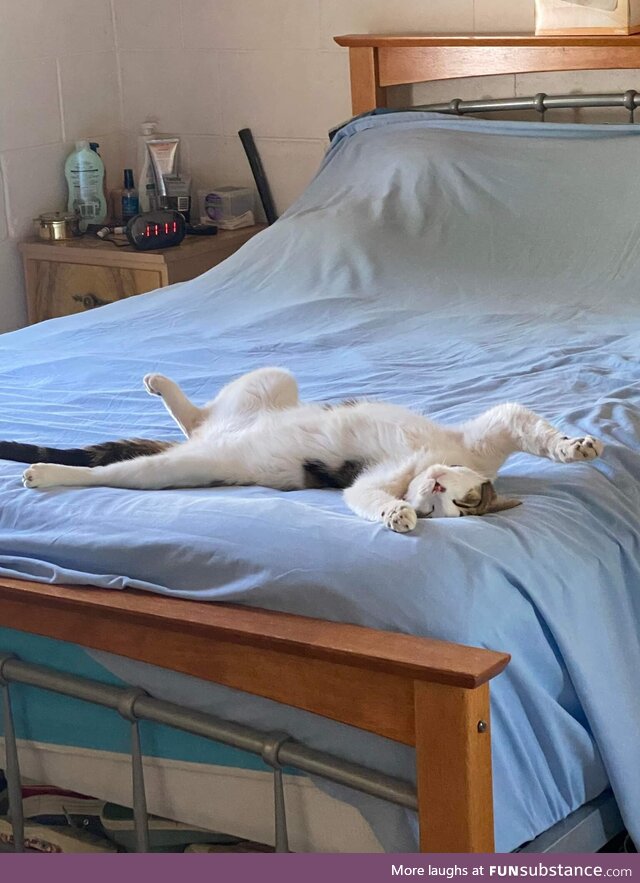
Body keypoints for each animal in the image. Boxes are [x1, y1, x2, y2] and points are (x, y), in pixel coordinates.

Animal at [8, 366, 600, 532]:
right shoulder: (485, 436)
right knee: (191, 418)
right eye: (462, 496)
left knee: (140, 459)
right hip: (275, 379)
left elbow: (366, 497)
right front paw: (576, 445)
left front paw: (398, 513)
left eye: (449, 507)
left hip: (188, 464)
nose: (431, 487)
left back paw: (46, 472)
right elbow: (530, 425)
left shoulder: (365, 482)